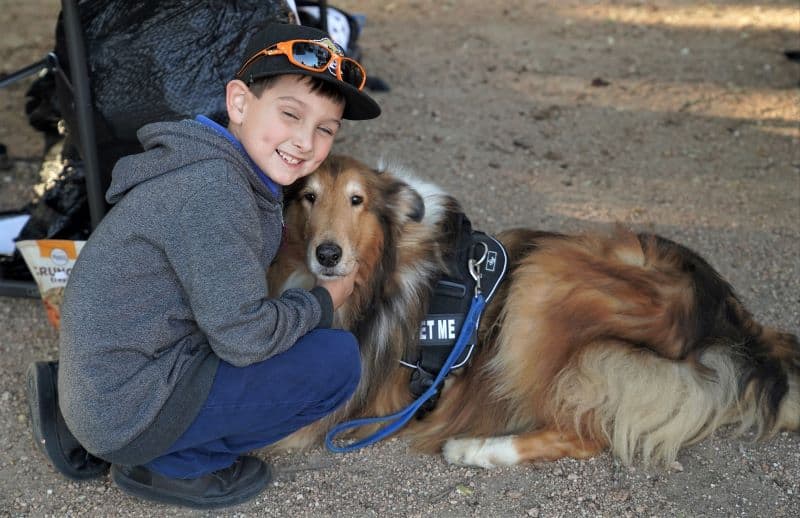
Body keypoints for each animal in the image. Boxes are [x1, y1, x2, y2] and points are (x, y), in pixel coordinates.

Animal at [268, 156, 800, 470]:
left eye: (356, 200)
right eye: (308, 196)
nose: (328, 254)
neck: (386, 264)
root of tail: (732, 322)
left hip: (541, 284)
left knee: (589, 433)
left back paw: (476, 449)